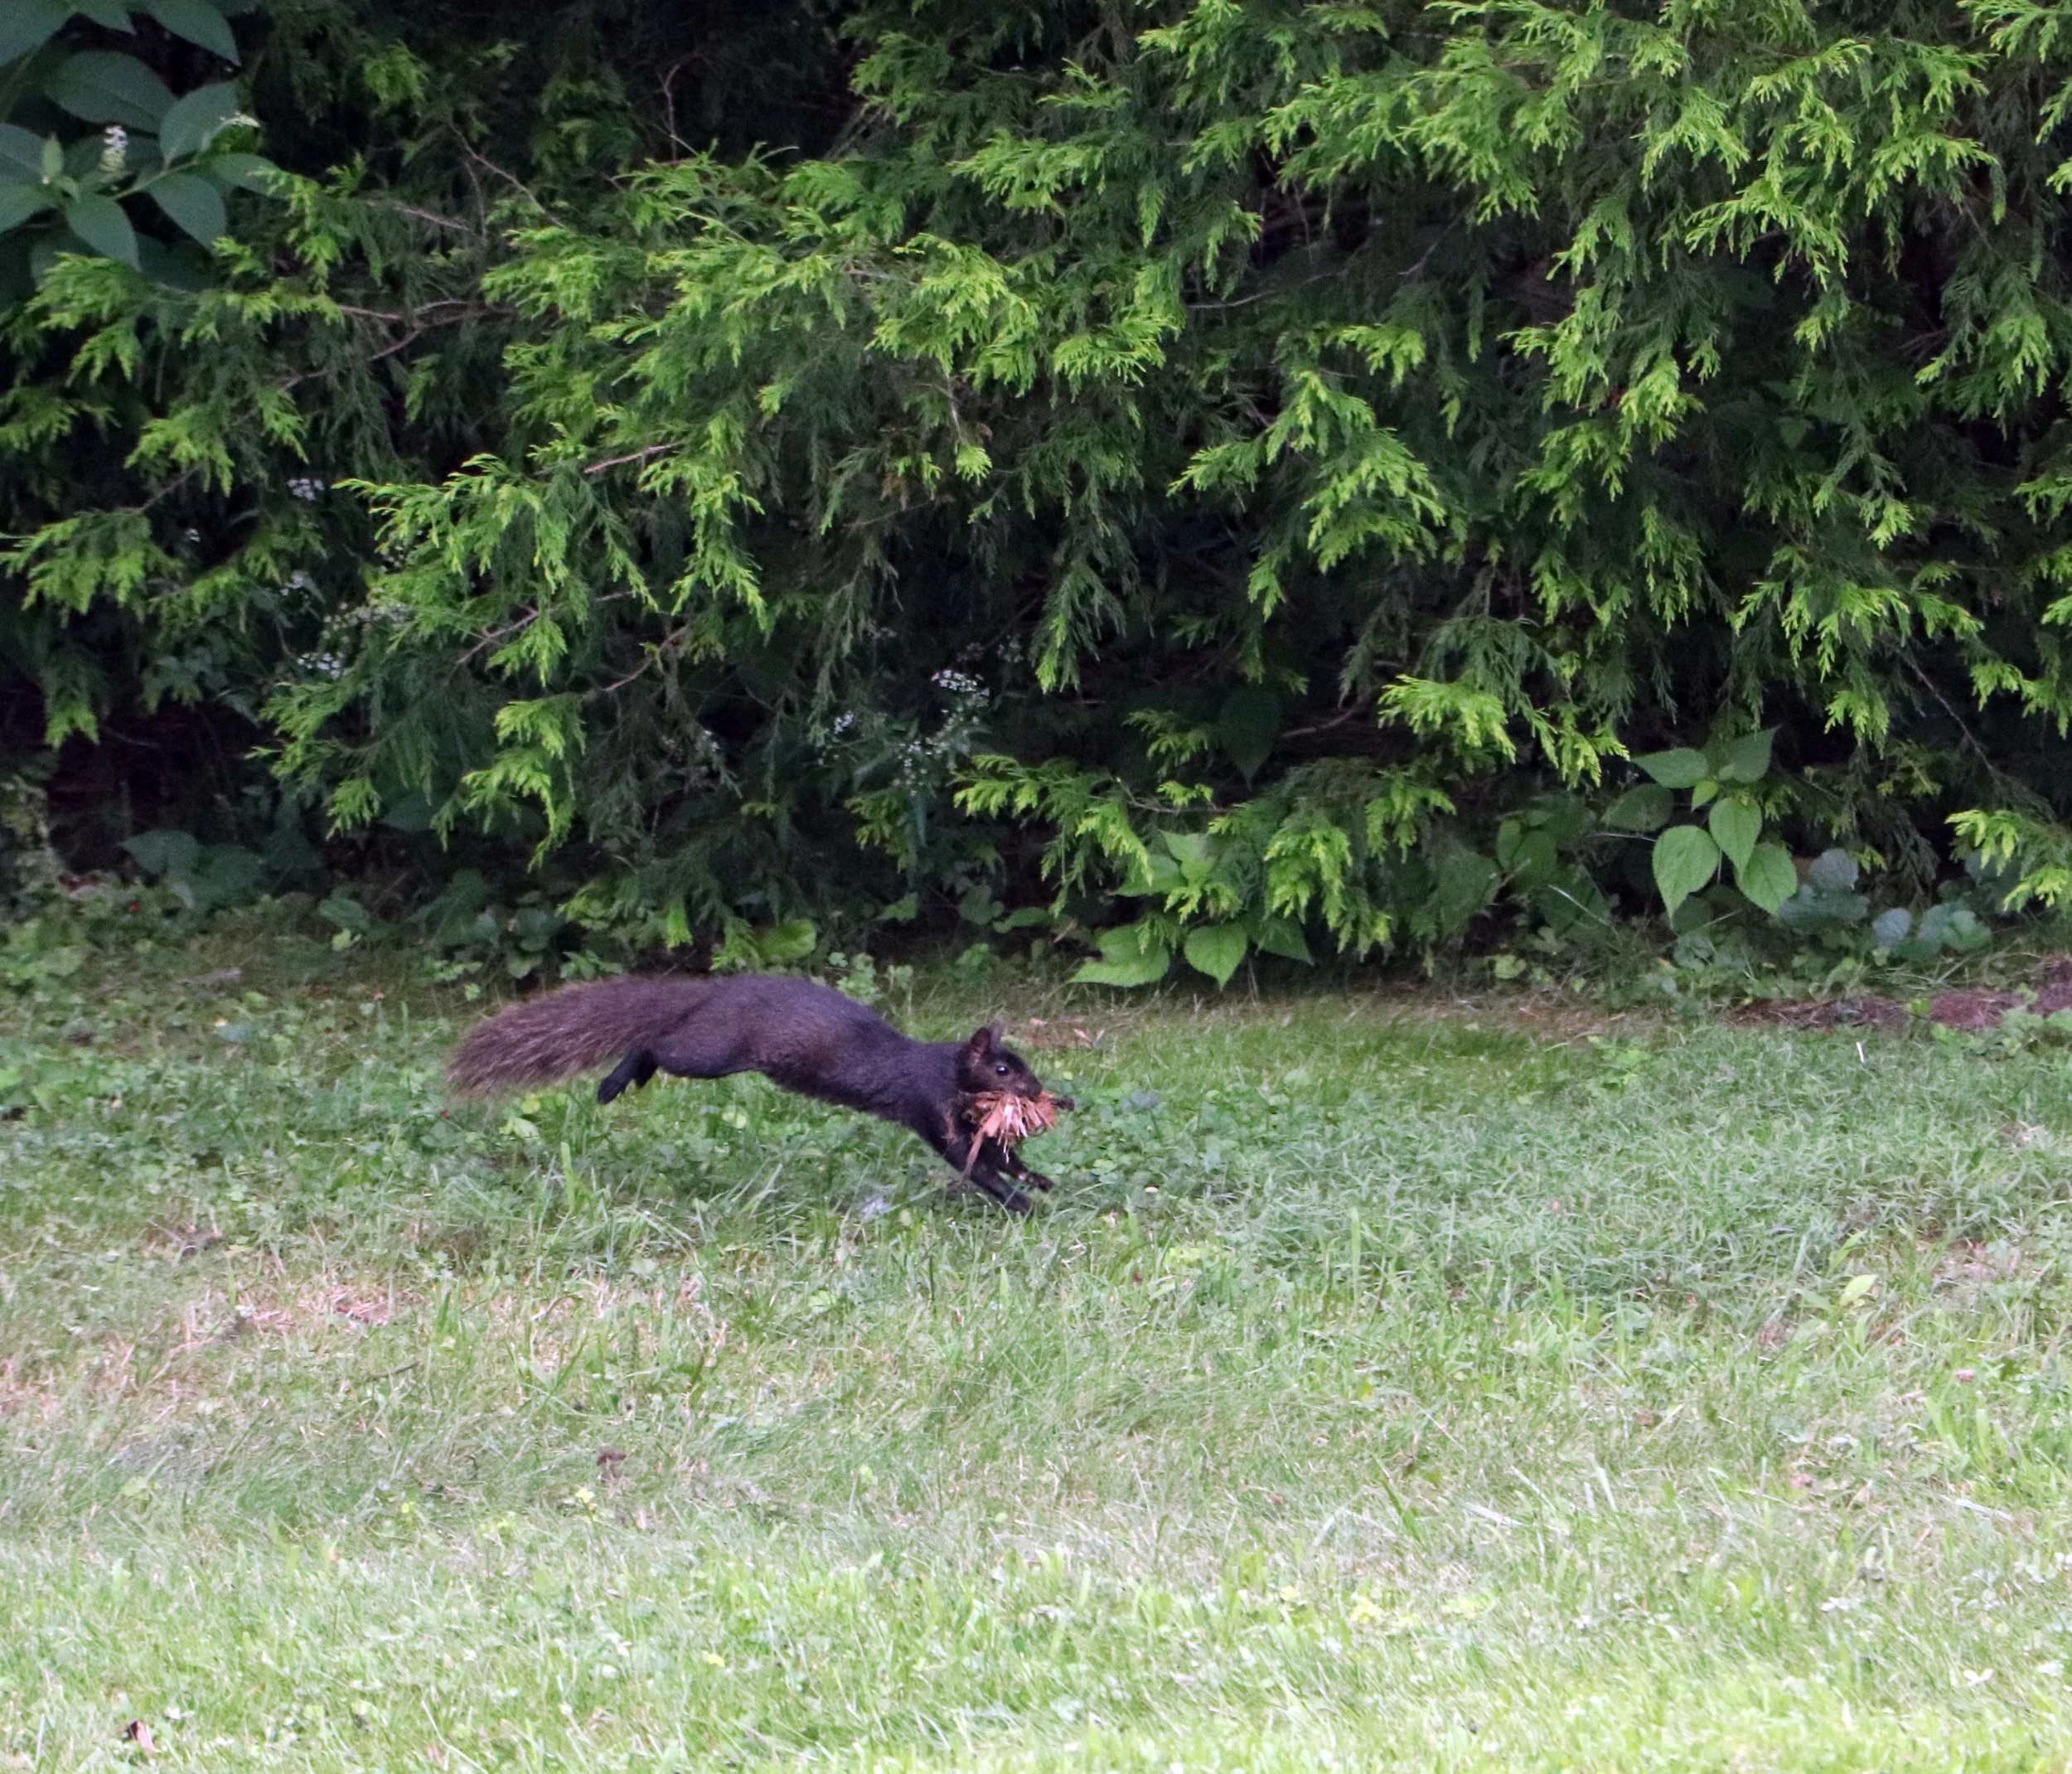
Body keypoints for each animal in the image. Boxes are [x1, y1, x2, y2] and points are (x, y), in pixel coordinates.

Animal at [445, 973, 1068, 1213]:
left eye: (1024, 1065)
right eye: (1004, 1070)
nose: (1041, 1089)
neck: (942, 1067)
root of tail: (716, 991)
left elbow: (996, 1155)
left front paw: (1036, 1179)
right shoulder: (930, 1106)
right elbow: (970, 1162)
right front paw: (1020, 1203)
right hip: (711, 1052)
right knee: (655, 1043)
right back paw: (616, 1081)